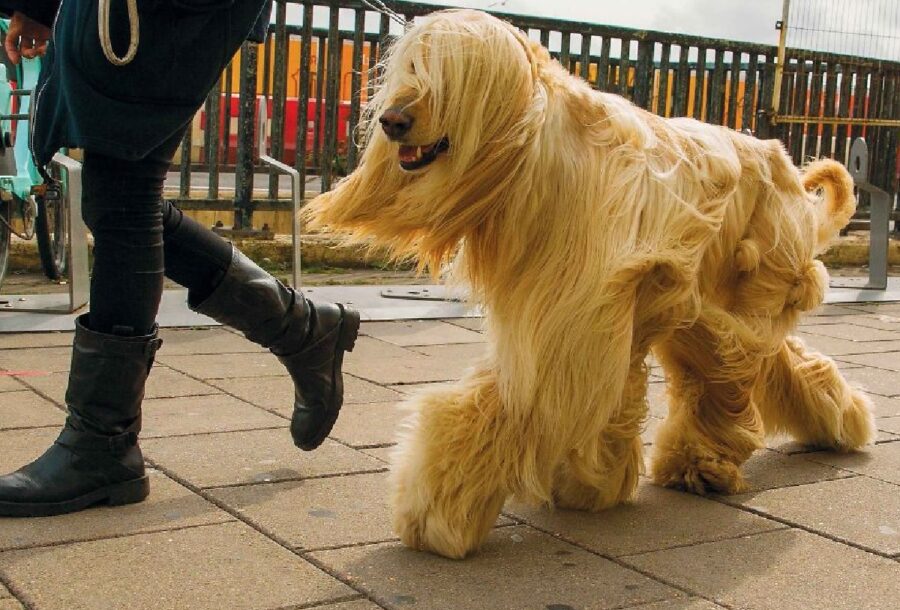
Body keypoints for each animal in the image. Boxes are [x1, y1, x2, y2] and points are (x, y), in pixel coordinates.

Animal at [302, 9, 872, 560]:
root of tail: (783, 161)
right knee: (759, 366)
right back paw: (832, 422)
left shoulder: (570, 324)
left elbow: (514, 405)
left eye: (453, 76)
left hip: (746, 292)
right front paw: (592, 480)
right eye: (413, 67)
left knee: (732, 372)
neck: (534, 156)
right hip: (713, 307)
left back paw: (724, 457)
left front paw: (437, 515)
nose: (392, 121)